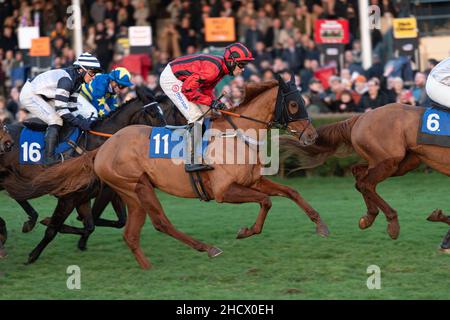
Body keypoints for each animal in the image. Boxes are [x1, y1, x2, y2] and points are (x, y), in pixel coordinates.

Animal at [28, 75, 330, 268]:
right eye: (294, 104)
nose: (312, 136)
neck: (237, 134)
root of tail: (103, 147)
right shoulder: (223, 191)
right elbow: (266, 201)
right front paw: (246, 231)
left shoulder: (253, 181)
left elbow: (289, 192)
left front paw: (320, 225)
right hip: (135, 187)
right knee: (154, 224)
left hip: (134, 191)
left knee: (138, 231)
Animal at [282, 102, 450, 240]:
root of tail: (361, 117)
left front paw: (439, 217)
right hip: (389, 160)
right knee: (365, 183)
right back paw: (392, 223)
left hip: (402, 162)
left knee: (359, 174)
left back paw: (369, 216)